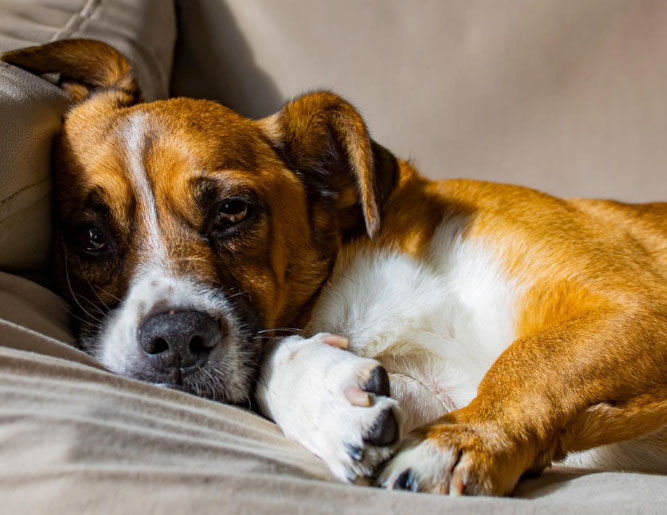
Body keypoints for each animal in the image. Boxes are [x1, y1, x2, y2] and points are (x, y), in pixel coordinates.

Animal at [2, 38, 664, 498]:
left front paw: (461, 442)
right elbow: (273, 357)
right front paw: (326, 399)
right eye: (89, 236)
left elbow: (531, 359)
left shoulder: (636, 303)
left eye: (233, 210)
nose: (177, 341)